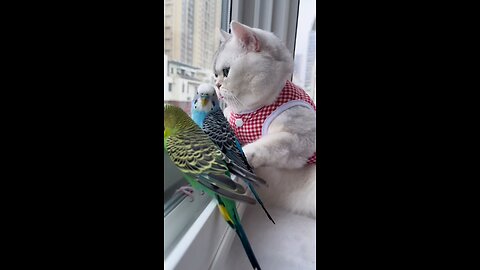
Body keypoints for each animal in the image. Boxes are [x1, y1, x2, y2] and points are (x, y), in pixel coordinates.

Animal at [213, 21, 316, 219]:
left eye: (226, 72)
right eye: (215, 75)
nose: (216, 85)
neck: (250, 111)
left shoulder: (302, 139)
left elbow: (266, 146)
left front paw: (242, 156)